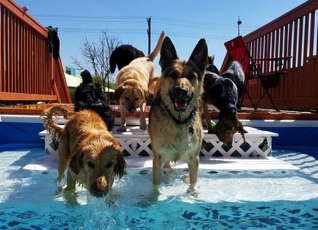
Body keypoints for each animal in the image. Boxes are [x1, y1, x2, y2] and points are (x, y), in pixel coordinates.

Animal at [148, 35, 207, 194]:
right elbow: (156, 187)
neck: (178, 121)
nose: (182, 91)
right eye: (173, 75)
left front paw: (192, 194)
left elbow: (193, 182)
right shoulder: (158, 159)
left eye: (192, 76)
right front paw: (153, 197)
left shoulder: (193, 159)